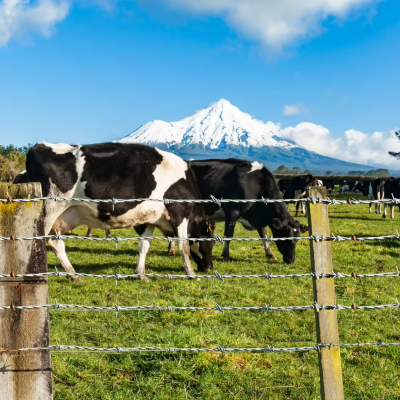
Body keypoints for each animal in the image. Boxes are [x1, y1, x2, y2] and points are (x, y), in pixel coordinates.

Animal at [26, 143, 214, 278]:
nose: (209, 268)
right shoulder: (179, 213)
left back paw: (73, 275)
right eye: (210, 243)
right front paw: (191, 274)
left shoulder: (149, 220)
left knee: (55, 243)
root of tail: (38, 146)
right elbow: (185, 246)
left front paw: (141, 274)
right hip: (49, 209)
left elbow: (144, 246)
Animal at [162, 158, 306, 264]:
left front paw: (270, 254)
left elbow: (264, 234)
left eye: (297, 240)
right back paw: (171, 249)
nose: (291, 260)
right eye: (286, 239)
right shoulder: (232, 212)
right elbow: (229, 235)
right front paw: (226, 255)